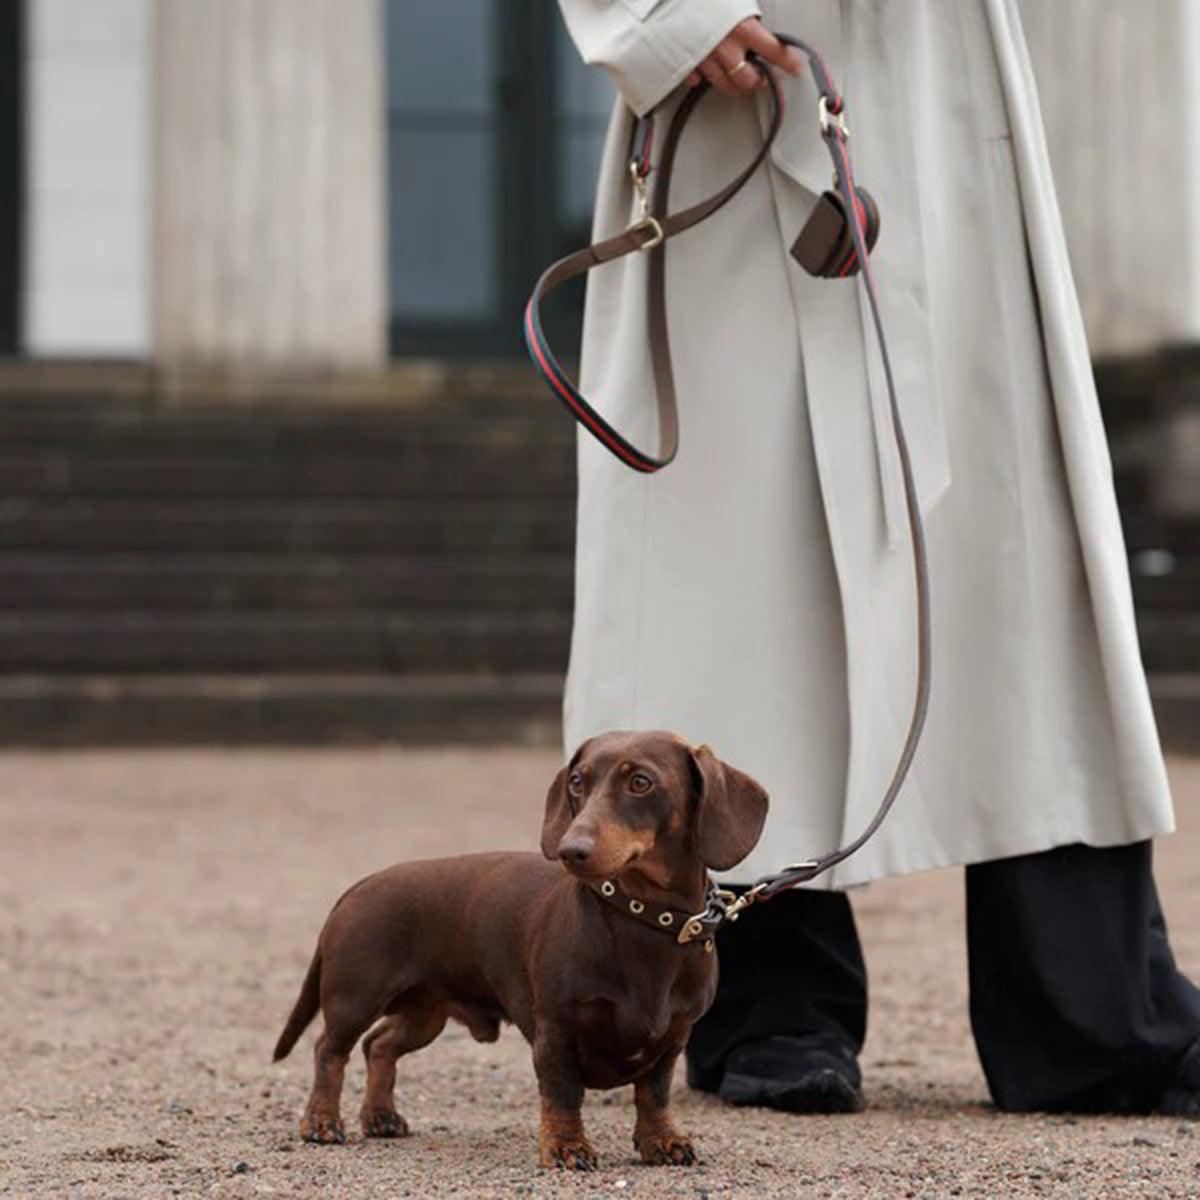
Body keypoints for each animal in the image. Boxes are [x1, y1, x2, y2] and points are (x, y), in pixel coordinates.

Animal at [272, 724, 768, 1166]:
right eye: (577, 781)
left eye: (640, 782)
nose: (570, 850)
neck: (643, 917)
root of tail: (357, 886)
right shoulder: (557, 1028)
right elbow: (563, 1094)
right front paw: (566, 1148)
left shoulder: (674, 1034)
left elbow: (654, 1093)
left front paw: (661, 1141)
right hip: (355, 996)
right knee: (329, 1050)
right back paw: (321, 1122)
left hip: (425, 1014)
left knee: (380, 1045)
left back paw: (380, 1117)